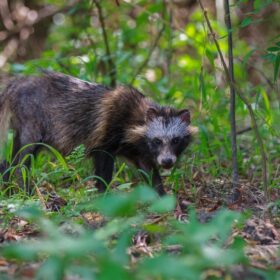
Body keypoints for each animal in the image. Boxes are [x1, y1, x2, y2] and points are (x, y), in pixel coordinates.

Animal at [0, 71, 195, 195]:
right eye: (157, 141)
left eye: (176, 140)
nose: (167, 161)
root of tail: (16, 83)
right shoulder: (106, 135)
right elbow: (103, 167)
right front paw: (103, 193)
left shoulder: (139, 150)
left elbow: (149, 171)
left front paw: (161, 195)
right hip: (32, 118)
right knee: (23, 158)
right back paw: (24, 189)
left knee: (11, 158)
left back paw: (7, 186)